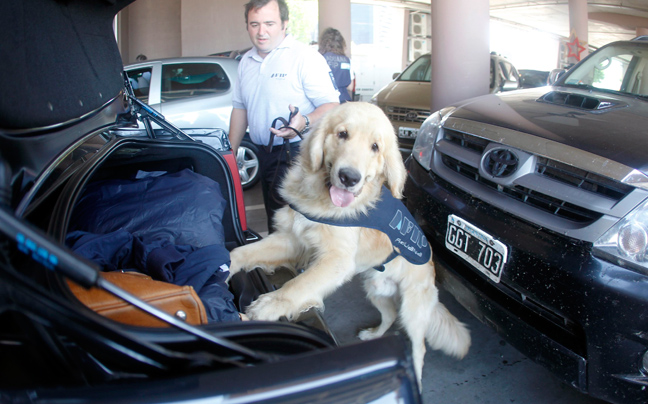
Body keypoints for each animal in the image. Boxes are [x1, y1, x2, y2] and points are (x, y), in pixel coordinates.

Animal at [229, 102, 470, 388]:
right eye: (342, 134)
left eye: (375, 147)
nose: (349, 177)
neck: (321, 198)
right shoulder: (292, 239)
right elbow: (242, 252)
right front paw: (222, 267)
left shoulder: (337, 259)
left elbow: (298, 284)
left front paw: (269, 306)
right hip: (376, 290)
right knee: (389, 316)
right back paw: (373, 334)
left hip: (413, 309)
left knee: (418, 347)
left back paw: (417, 381)